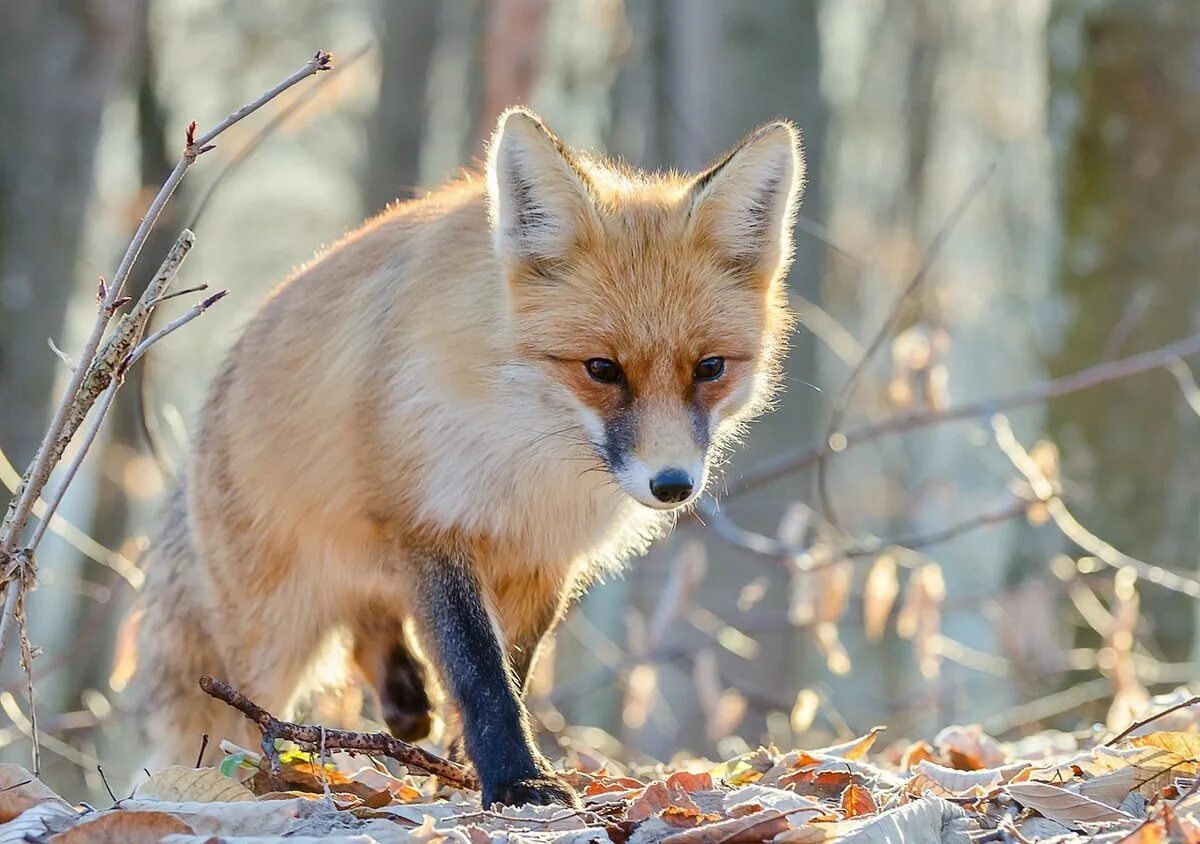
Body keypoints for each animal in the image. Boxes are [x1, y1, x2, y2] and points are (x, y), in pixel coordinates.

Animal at [131, 109, 801, 806]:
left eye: (710, 368)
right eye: (601, 369)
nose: (672, 485)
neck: (523, 446)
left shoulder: (540, 556)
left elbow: (515, 667)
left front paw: (466, 765)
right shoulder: (429, 526)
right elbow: (479, 669)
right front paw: (518, 778)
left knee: (371, 626)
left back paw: (404, 702)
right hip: (273, 628)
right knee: (250, 711)